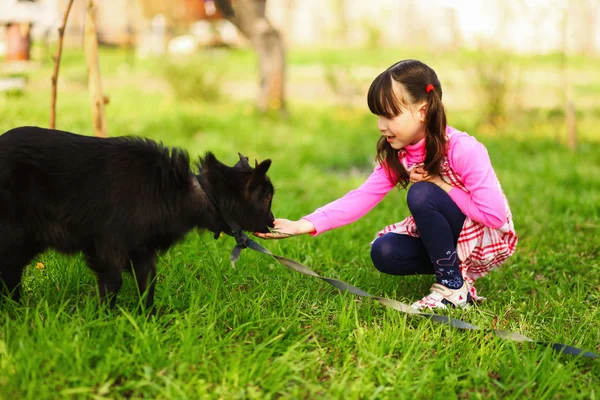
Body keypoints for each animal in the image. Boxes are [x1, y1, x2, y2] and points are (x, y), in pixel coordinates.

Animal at [0, 126, 276, 310]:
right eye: (266, 199)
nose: (272, 222)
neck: (175, 191)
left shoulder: (143, 250)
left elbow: (147, 285)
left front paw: (149, 319)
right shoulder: (108, 247)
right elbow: (113, 284)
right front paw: (104, 321)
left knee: (11, 274)